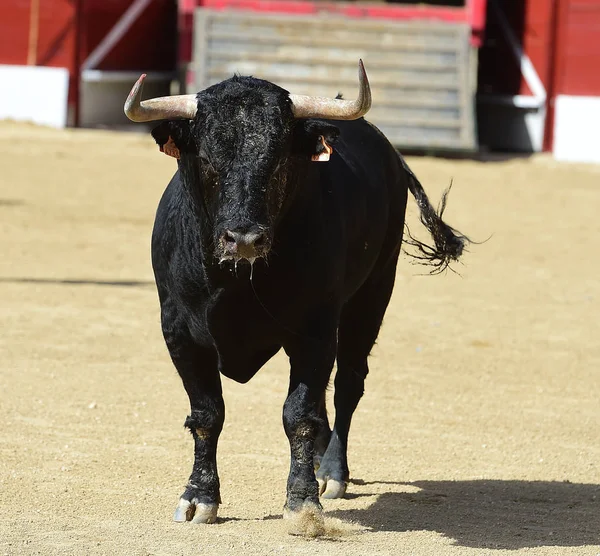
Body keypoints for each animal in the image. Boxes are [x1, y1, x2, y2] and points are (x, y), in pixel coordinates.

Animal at [123, 63, 468, 524]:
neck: (237, 283)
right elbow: (207, 413)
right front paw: (198, 497)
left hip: (372, 295)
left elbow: (298, 414)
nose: (244, 239)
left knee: (347, 385)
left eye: (278, 161)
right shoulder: (179, 331)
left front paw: (303, 501)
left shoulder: (314, 329)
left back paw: (332, 472)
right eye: (208, 159)